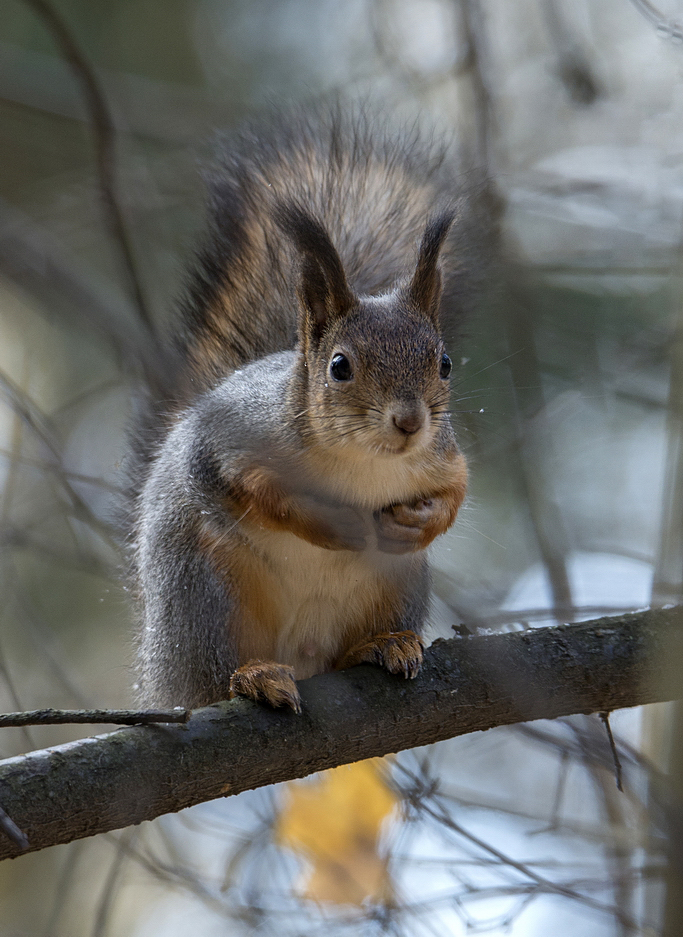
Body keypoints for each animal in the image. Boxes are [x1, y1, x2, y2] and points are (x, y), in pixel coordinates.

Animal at [131, 104, 478, 708]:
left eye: (444, 363)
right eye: (339, 366)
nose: (410, 422)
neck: (362, 463)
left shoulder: (443, 455)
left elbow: (455, 490)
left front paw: (418, 522)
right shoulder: (231, 437)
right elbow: (256, 489)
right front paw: (333, 522)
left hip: (396, 586)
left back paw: (383, 645)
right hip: (206, 595)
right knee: (215, 674)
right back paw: (253, 676)